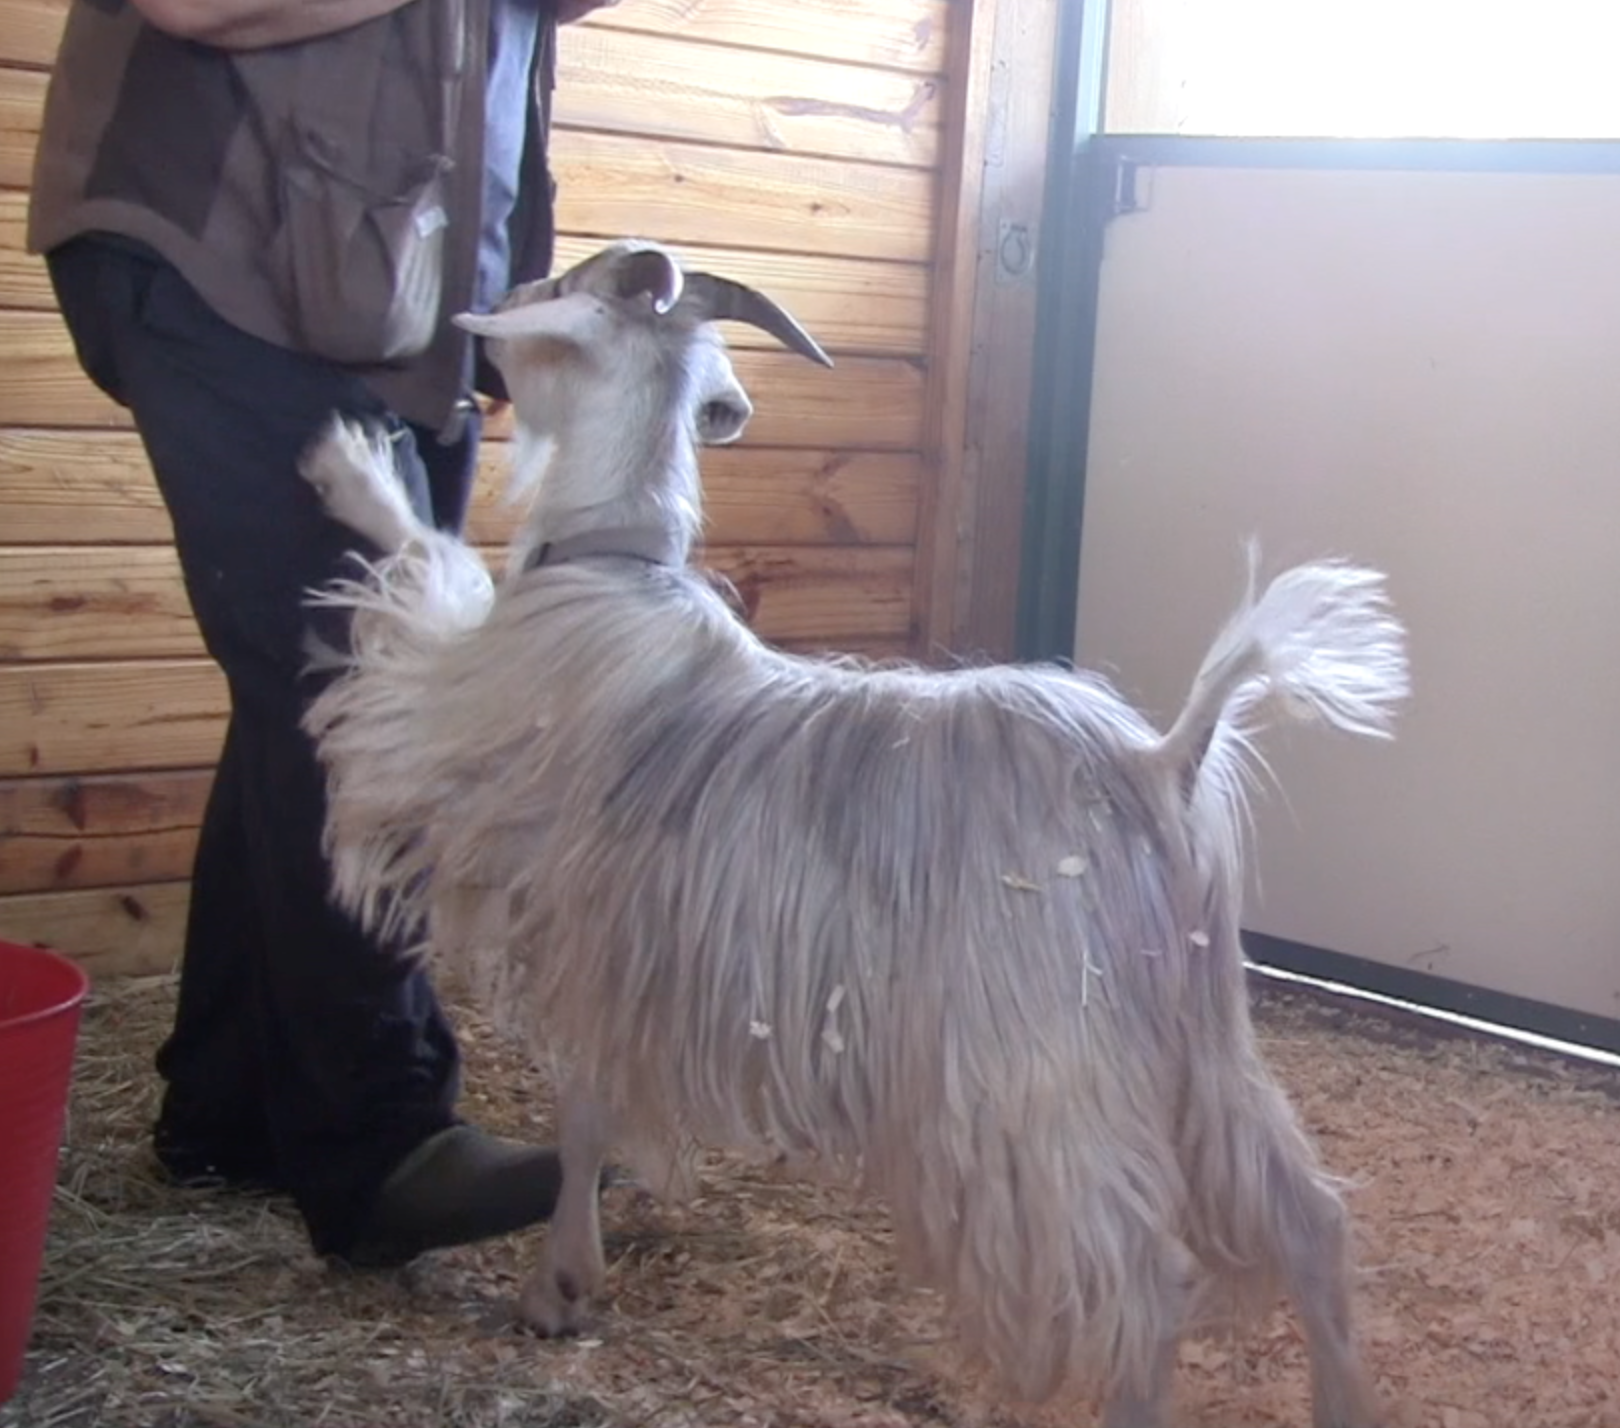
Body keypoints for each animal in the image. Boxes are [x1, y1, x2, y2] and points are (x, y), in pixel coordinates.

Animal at [299, 239, 1403, 1428]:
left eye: (562, 288)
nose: (497, 299)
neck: (611, 566)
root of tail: (1161, 760)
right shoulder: (617, 949)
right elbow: (588, 1112)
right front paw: (564, 1286)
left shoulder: (462, 756)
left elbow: (428, 568)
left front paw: (349, 469)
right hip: (1196, 1040)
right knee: (1308, 1221)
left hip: (1039, 1067)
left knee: (1145, 1282)